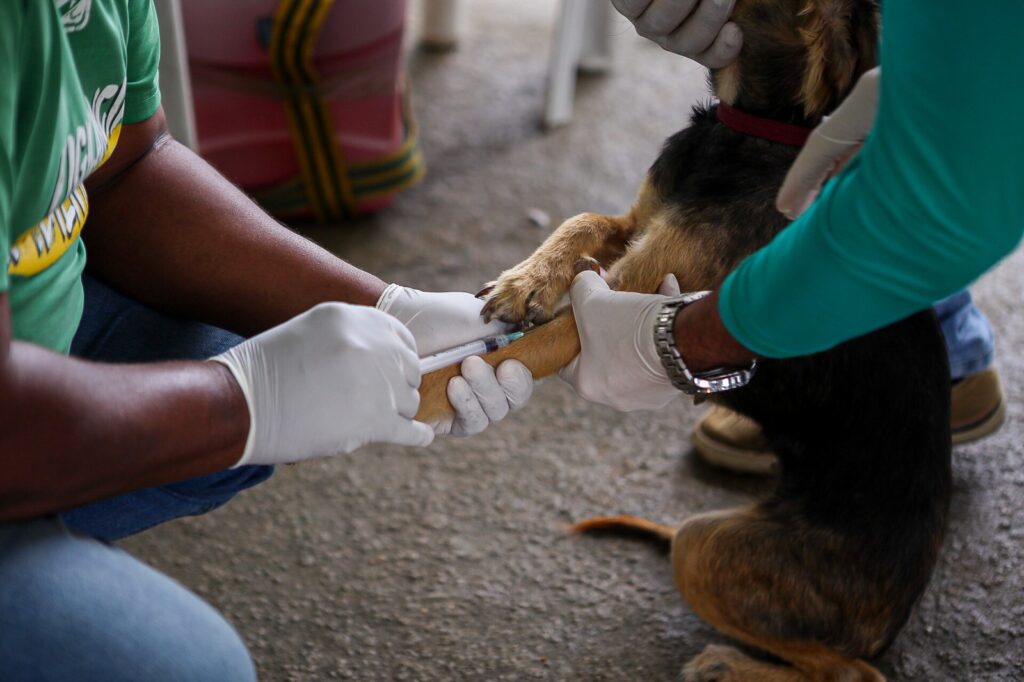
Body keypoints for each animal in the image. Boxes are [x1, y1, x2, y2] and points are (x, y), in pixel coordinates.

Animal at [413, 2, 950, 675]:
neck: (761, 127)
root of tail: (896, 617)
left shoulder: (615, 304)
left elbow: (506, 354)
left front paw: (397, 390)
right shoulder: (634, 231)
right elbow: (582, 220)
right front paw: (527, 279)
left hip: (703, 546)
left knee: (850, 671)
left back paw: (727, 664)